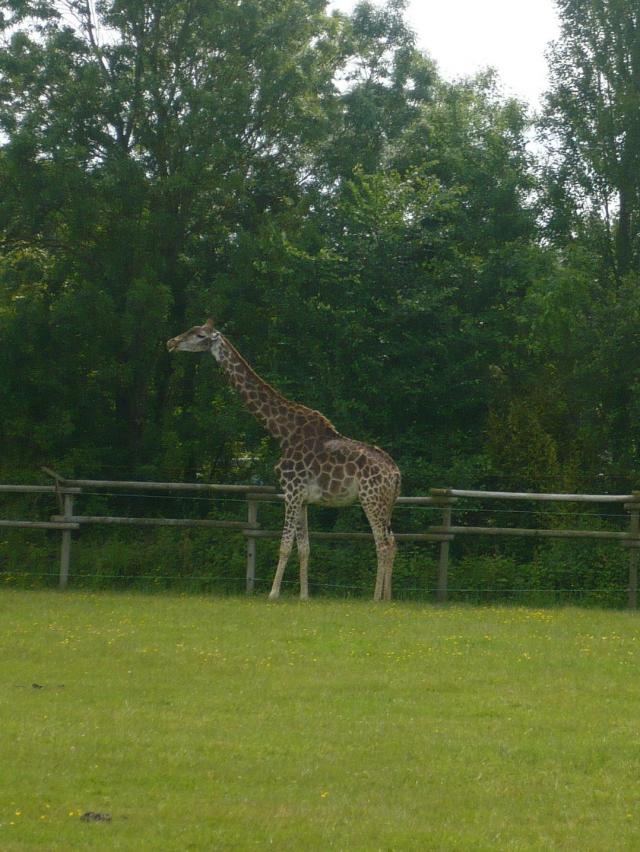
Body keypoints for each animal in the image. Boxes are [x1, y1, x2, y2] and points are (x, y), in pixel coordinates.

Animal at [166, 318, 400, 600]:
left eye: (199, 335)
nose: (171, 342)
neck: (281, 432)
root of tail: (396, 475)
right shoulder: (304, 499)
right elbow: (305, 547)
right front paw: (304, 596)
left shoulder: (291, 492)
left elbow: (285, 544)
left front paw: (273, 593)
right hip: (386, 504)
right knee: (393, 542)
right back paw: (388, 598)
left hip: (370, 500)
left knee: (382, 544)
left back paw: (376, 599)